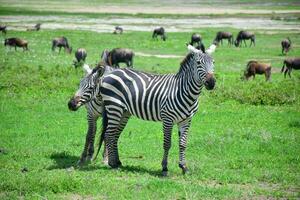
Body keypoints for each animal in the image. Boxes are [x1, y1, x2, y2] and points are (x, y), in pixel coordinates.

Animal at [68, 44, 216, 176]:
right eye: (198, 63)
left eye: (213, 63)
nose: (212, 82)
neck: (184, 91)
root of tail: (112, 72)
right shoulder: (167, 118)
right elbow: (167, 144)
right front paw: (164, 168)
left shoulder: (186, 120)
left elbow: (183, 144)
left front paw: (184, 167)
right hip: (114, 107)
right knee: (109, 134)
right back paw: (112, 164)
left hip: (123, 112)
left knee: (114, 135)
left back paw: (118, 162)